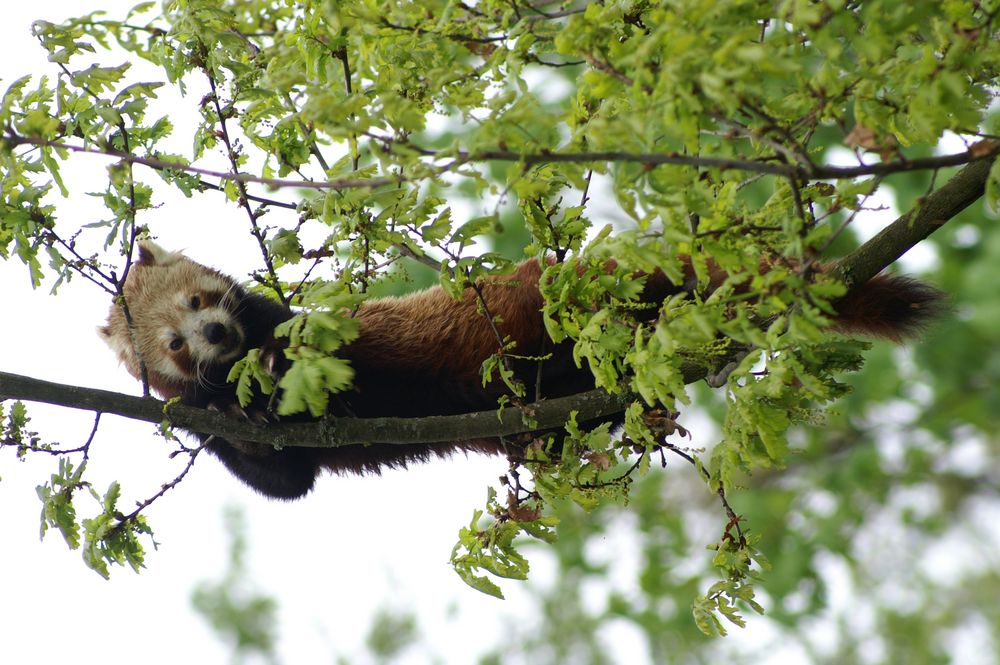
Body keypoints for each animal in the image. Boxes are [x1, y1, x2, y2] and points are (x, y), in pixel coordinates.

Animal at [99, 240, 944, 498]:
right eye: (174, 343)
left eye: (204, 298)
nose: (214, 331)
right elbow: (284, 477)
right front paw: (221, 418)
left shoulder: (302, 328)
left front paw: (268, 378)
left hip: (558, 307)